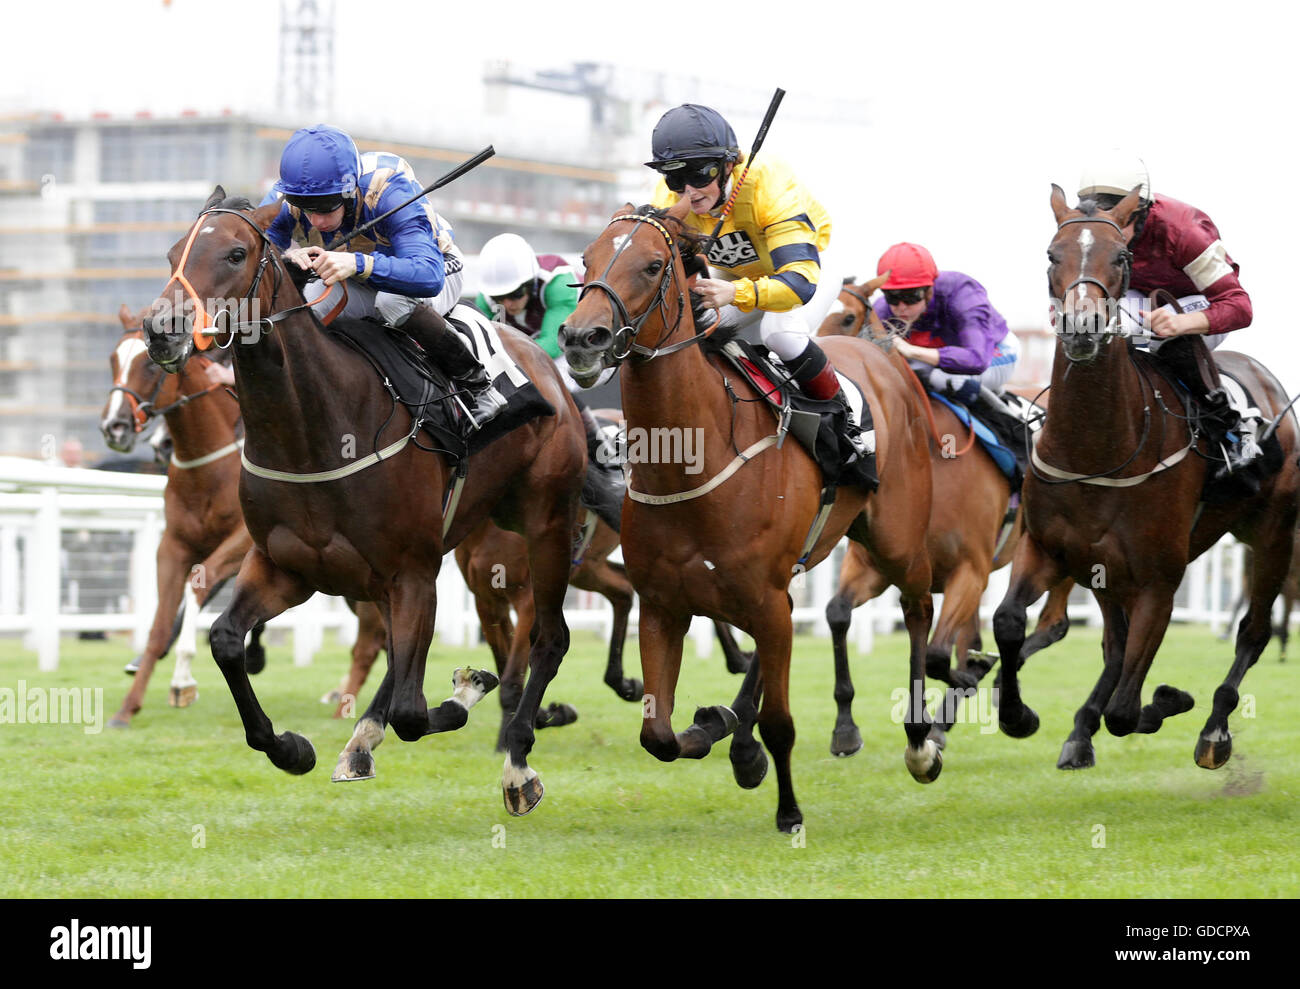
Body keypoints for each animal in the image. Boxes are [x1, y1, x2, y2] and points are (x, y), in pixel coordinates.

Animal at [100, 301, 266, 727]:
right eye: (113, 360)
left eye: (149, 364)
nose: (114, 427)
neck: (208, 468)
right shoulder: (172, 546)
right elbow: (160, 624)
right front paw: (128, 706)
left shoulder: (242, 540)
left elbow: (198, 583)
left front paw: (182, 681)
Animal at [141, 188, 585, 816]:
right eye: (174, 252)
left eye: (234, 253)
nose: (161, 330)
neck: (313, 430)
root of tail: (547, 369)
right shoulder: (285, 567)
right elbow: (226, 641)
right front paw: (291, 748)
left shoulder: (412, 570)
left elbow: (413, 713)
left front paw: (467, 690)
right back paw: (361, 742)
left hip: (545, 522)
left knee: (550, 637)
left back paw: (517, 765)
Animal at [564, 196, 941, 831]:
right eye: (587, 257)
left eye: (651, 266)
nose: (580, 338)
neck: (693, 460)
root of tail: (884, 356)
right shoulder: (665, 604)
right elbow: (657, 734)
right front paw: (716, 726)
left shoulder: (760, 598)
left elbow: (781, 724)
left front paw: (789, 812)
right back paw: (739, 740)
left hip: (897, 541)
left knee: (917, 611)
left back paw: (920, 743)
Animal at [816, 275, 1071, 748]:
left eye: (846, 318)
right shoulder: (875, 568)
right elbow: (837, 614)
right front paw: (845, 728)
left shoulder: (969, 572)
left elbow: (936, 656)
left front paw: (974, 682)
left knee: (1053, 623)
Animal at [987, 184, 1294, 769]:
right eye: (1051, 255)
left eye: (1122, 257)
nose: (1083, 330)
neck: (1095, 449)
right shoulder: (1048, 547)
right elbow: (1009, 621)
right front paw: (1018, 715)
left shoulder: (1159, 578)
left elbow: (1127, 711)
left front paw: (1167, 700)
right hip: (1107, 570)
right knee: (1114, 646)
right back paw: (1080, 732)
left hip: (1271, 537)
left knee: (1253, 632)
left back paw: (1214, 730)